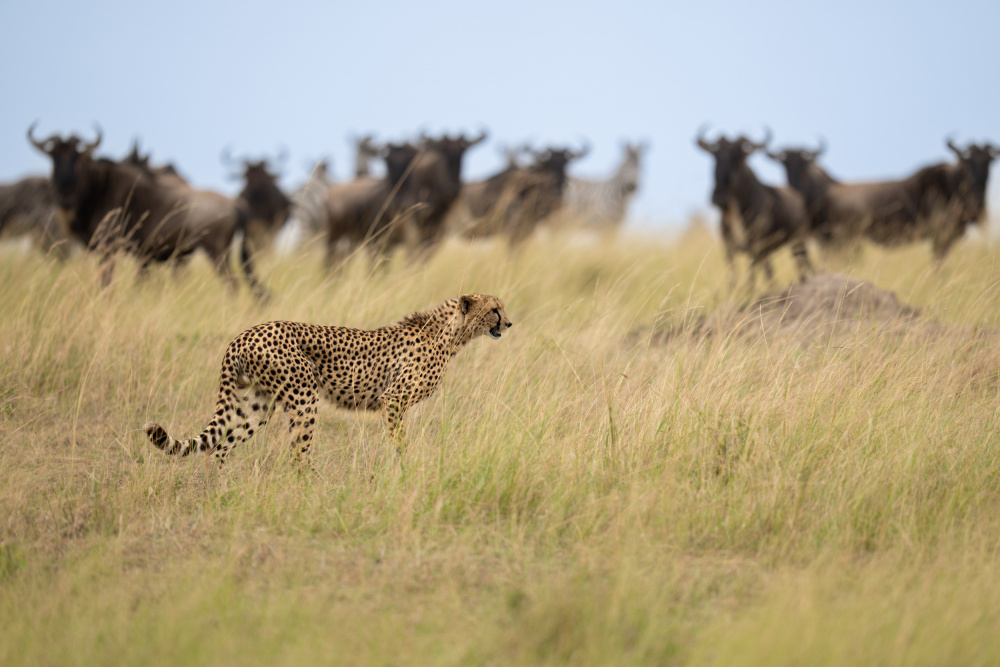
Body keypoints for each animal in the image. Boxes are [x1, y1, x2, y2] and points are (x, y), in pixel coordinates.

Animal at [141, 292, 512, 464]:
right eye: (494, 309)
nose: (509, 323)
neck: (451, 335)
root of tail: (245, 334)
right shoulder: (393, 400)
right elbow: (398, 443)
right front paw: (401, 470)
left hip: (259, 405)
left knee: (220, 447)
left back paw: (222, 492)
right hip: (303, 397)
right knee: (298, 454)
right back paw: (307, 491)